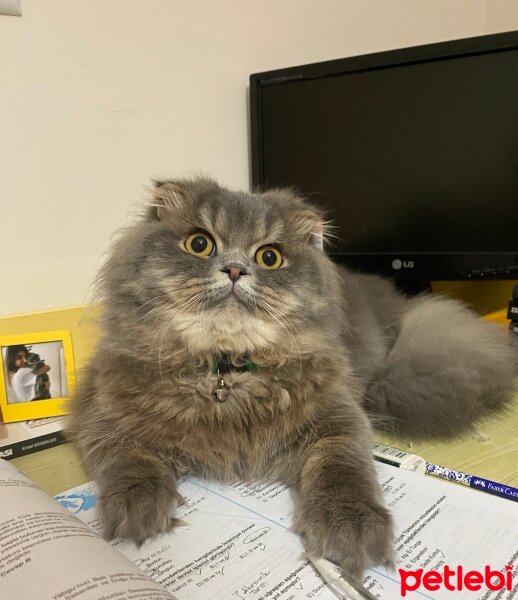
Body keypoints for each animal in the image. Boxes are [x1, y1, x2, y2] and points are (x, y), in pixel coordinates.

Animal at [67, 176, 516, 580]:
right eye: (199, 244)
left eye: (269, 258)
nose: (235, 269)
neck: (227, 370)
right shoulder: (102, 412)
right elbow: (131, 459)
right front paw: (138, 507)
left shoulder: (338, 420)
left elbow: (342, 470)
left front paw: (350, 527)